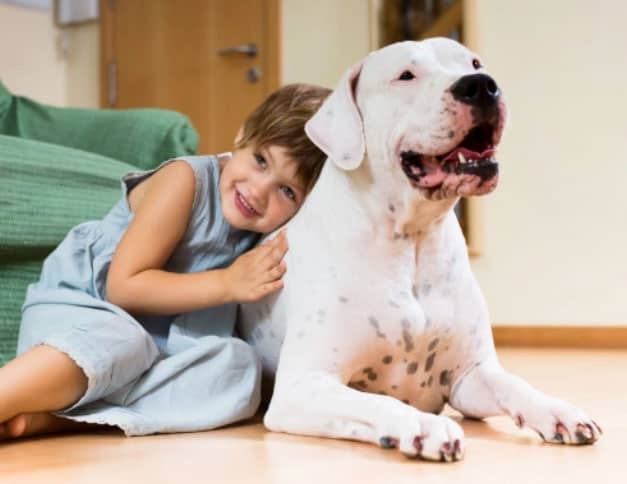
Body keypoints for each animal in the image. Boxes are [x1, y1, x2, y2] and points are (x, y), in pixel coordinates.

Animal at [238, 36, 600, 462]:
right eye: (406, 75)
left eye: (474, 63)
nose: (481, 85)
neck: (412, 239)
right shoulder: (302, 385)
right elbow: (377, 401)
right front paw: (423, 425)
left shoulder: (469, 376)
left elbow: (513, 383)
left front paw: (557, 410)